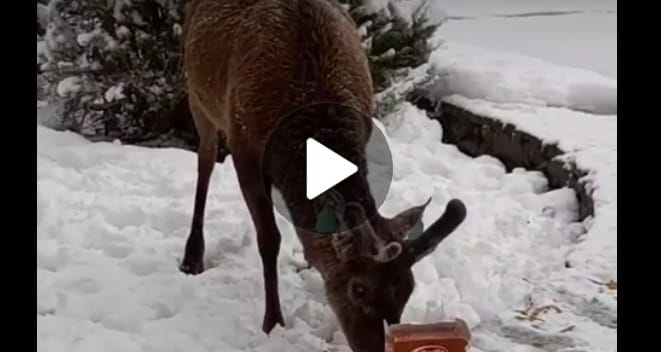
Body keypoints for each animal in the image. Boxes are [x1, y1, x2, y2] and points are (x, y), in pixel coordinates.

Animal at [178, 0, 466, 352]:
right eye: (358, 289)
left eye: (407, 290)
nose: (378, 346)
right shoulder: (243, 148)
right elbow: (269, 239)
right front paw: (273, 322)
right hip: (197, 95)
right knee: (204, 162)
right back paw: (192, 256)